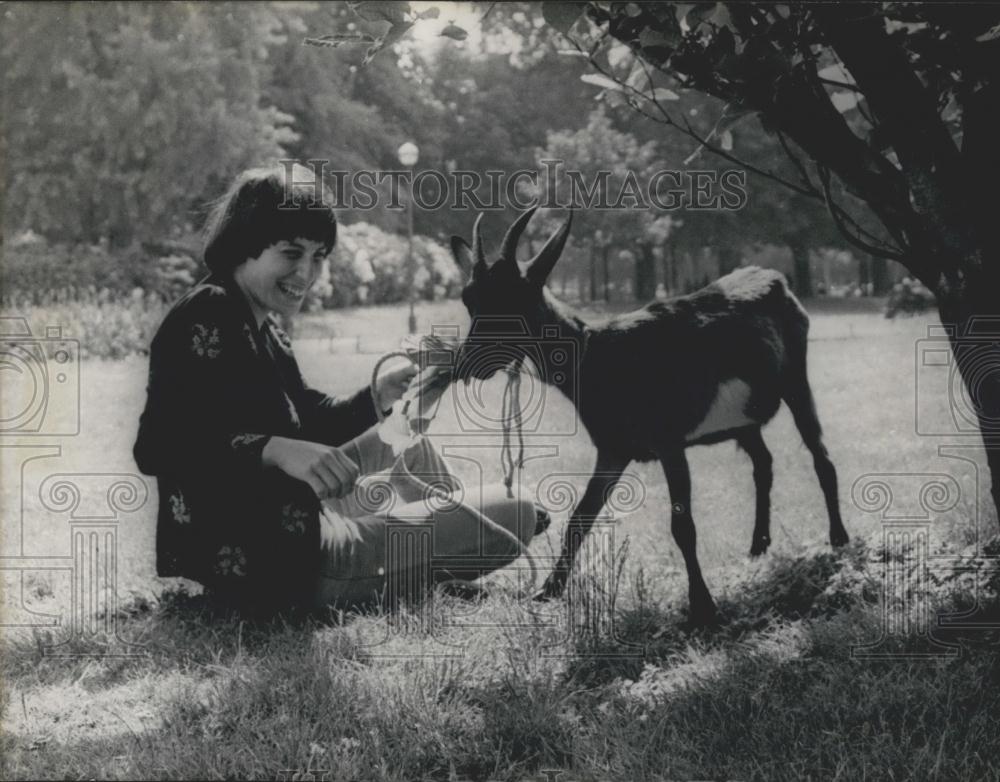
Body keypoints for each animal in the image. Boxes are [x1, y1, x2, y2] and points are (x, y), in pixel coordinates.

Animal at [450, 208, 848, 624]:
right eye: (469, 299)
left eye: (514, 298)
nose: (468, 364)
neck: (598, 356)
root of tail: (776, 279)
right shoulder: (613, 448)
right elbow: (580, 517)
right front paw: (548, 591)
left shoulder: (668, 442)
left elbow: (682, 524)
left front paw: (703, 607)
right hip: (744, 419)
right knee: (763, 463)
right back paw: (758, 545)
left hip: (795, 380)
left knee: (821, 456)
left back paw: (838, 538)